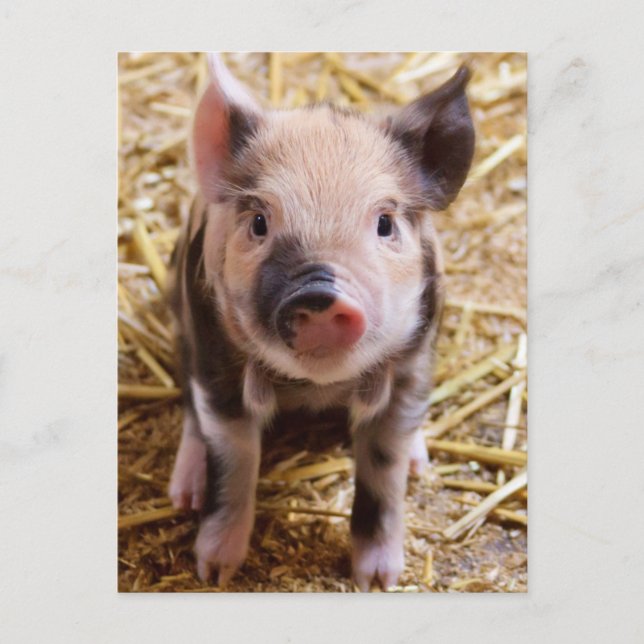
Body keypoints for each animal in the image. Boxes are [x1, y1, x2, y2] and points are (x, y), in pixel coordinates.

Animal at [167, 54, 474, 590]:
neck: (316, 388)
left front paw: (378, 581)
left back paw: (421, 465)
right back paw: (183, 494)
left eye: (385, 223)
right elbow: (234, 460)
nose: (318, 293)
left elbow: (384, 468)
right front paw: (215, 571)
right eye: (259, 222)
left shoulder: (413, 364)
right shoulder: (214, 358)